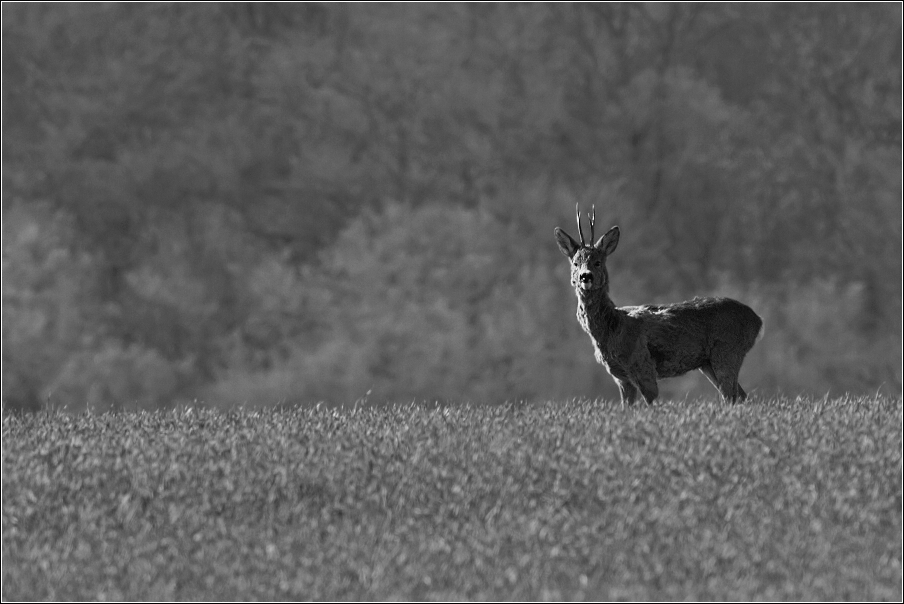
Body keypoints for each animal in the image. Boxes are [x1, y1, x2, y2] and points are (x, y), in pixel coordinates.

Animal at [552, 205, 764, 408]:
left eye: (597, 262)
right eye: (575, 262)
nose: (585, 276)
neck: (613, 328)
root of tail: (758, 321)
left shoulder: (642, 364)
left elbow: (651, 402)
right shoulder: (621, 377)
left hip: (728, 351)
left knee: (731, 395)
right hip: (708, 362)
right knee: (740, 396)